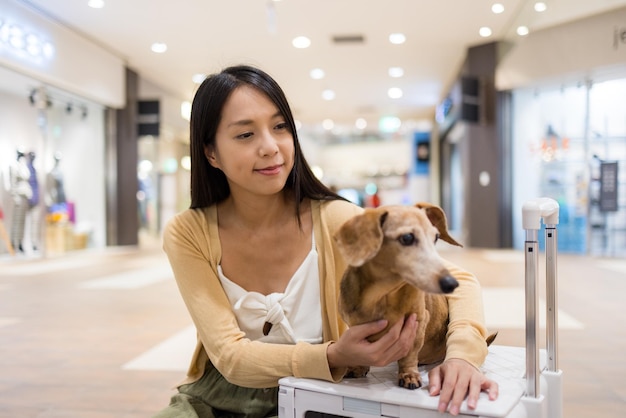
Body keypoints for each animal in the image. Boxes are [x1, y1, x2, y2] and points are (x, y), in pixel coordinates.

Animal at [336, 202, 468, 388]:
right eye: (407, 238)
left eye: (435, 237)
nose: (451, 283)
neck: (381, 296)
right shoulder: (355, 326)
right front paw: (358, 366)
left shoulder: (419, 322)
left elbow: (410, 354)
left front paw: (409, 374)